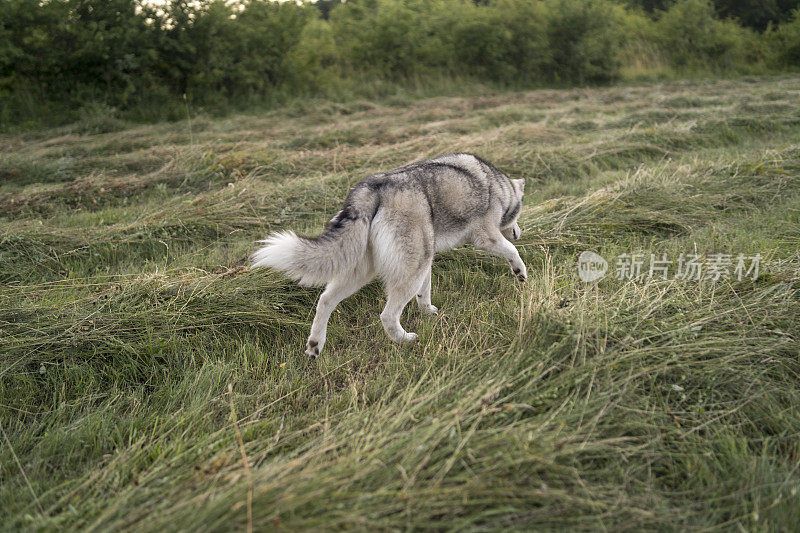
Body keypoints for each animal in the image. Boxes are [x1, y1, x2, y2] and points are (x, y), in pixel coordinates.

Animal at [250, 152, 524, 356]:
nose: (519, 233)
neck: (500, 185)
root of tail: (372, 188)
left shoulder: (427, 262)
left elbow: (424, 292)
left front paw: (427, 311)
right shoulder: (485, 237)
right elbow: (511, 251)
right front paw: (521, 273)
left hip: (366, 271)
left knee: (325, 300)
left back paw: (315, 345)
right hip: (406, 272)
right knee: (388, 316)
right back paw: (405, 339)